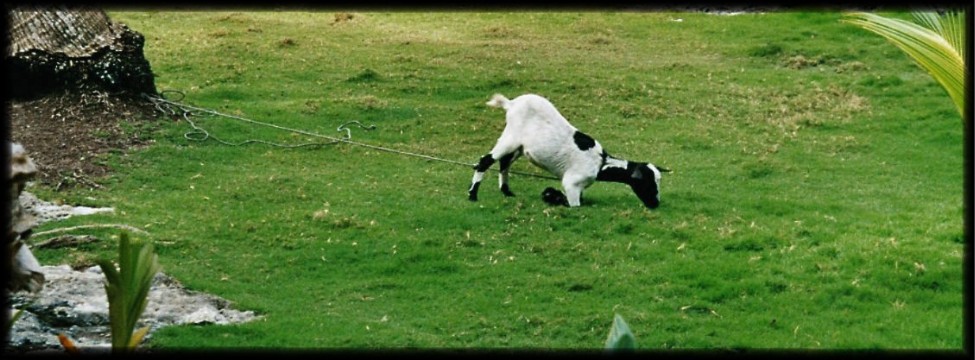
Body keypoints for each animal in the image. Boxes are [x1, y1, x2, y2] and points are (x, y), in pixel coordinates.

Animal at [468, 93, 668, 208]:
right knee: (485, 161)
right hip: (510, 138)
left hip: (519, 146)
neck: (600, 163)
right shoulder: (572, 184)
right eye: (648, 182)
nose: (655, 204)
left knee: (504, 163)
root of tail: (511, 104)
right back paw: (472, 196)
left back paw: (507, 192)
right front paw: (551, 196)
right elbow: (574, 205)